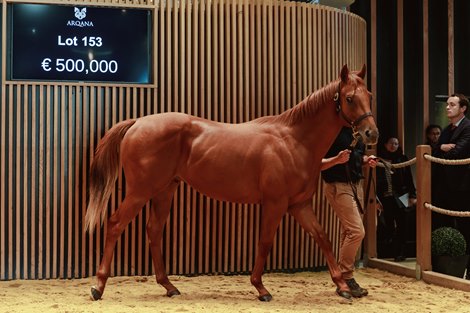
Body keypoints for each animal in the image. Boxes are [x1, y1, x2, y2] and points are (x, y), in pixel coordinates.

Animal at [84, 63, 378, 300]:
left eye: (369, 96)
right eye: (349, 98)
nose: (371, 133)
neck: (293, 140)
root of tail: (138, 123)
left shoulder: (299, 205)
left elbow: (322, 238)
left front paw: (343, 286)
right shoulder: (275, 203)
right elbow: (265, 242)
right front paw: (261, 288)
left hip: (165, 190)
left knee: (153, 230)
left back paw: (169, 286)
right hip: (140, 191)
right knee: (115, 224)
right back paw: (98, 286)